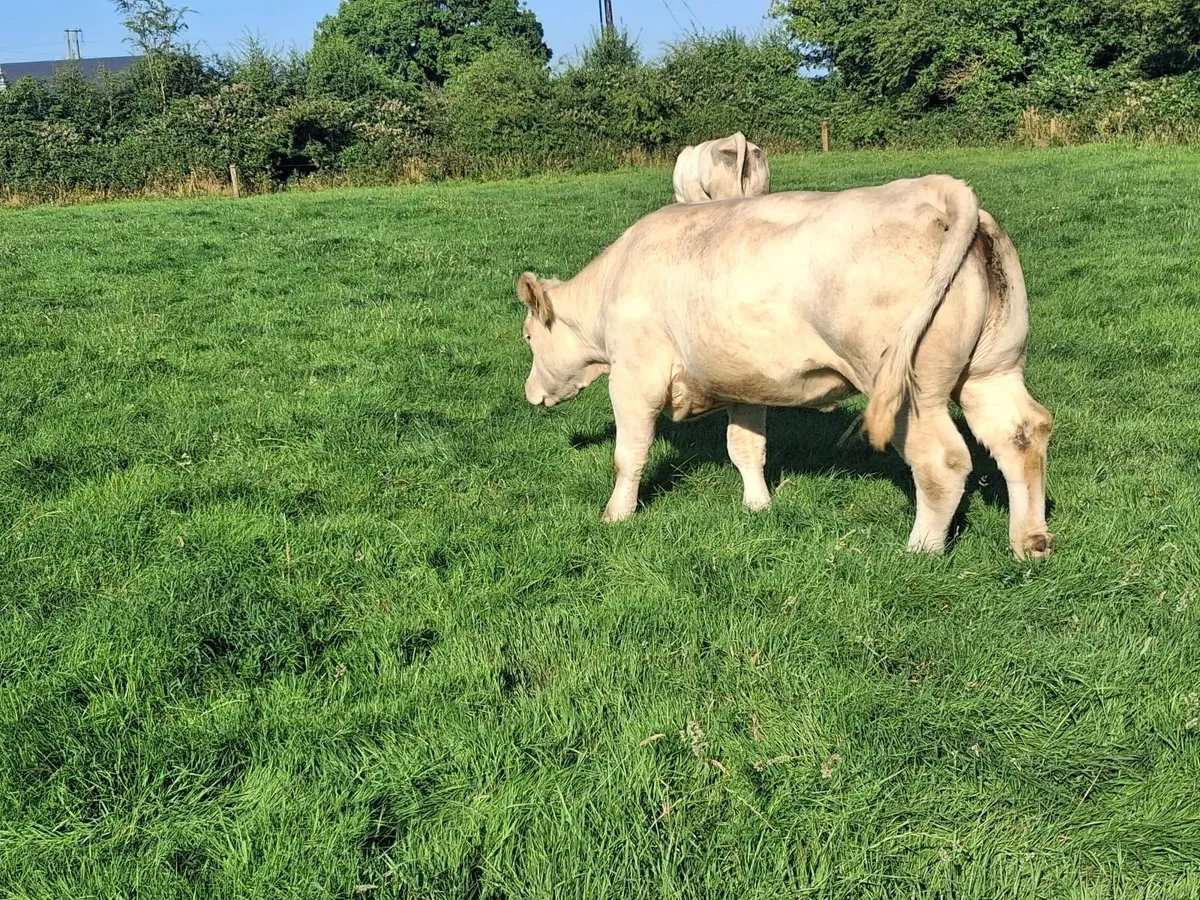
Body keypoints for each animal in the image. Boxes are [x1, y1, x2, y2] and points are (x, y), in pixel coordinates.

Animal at [515, 175, 1054, 559]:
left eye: (527, 336)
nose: (530, 393)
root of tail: (937, 189)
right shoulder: (745, 383)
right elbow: (745, 448)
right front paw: (758, 505)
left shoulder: (635, 377)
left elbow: (629, 455)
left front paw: (616, 515)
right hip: (992, 370)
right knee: (1022, 434)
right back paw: (1029, 543)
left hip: (909, 389)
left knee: (942, 461)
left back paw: (920, 550)